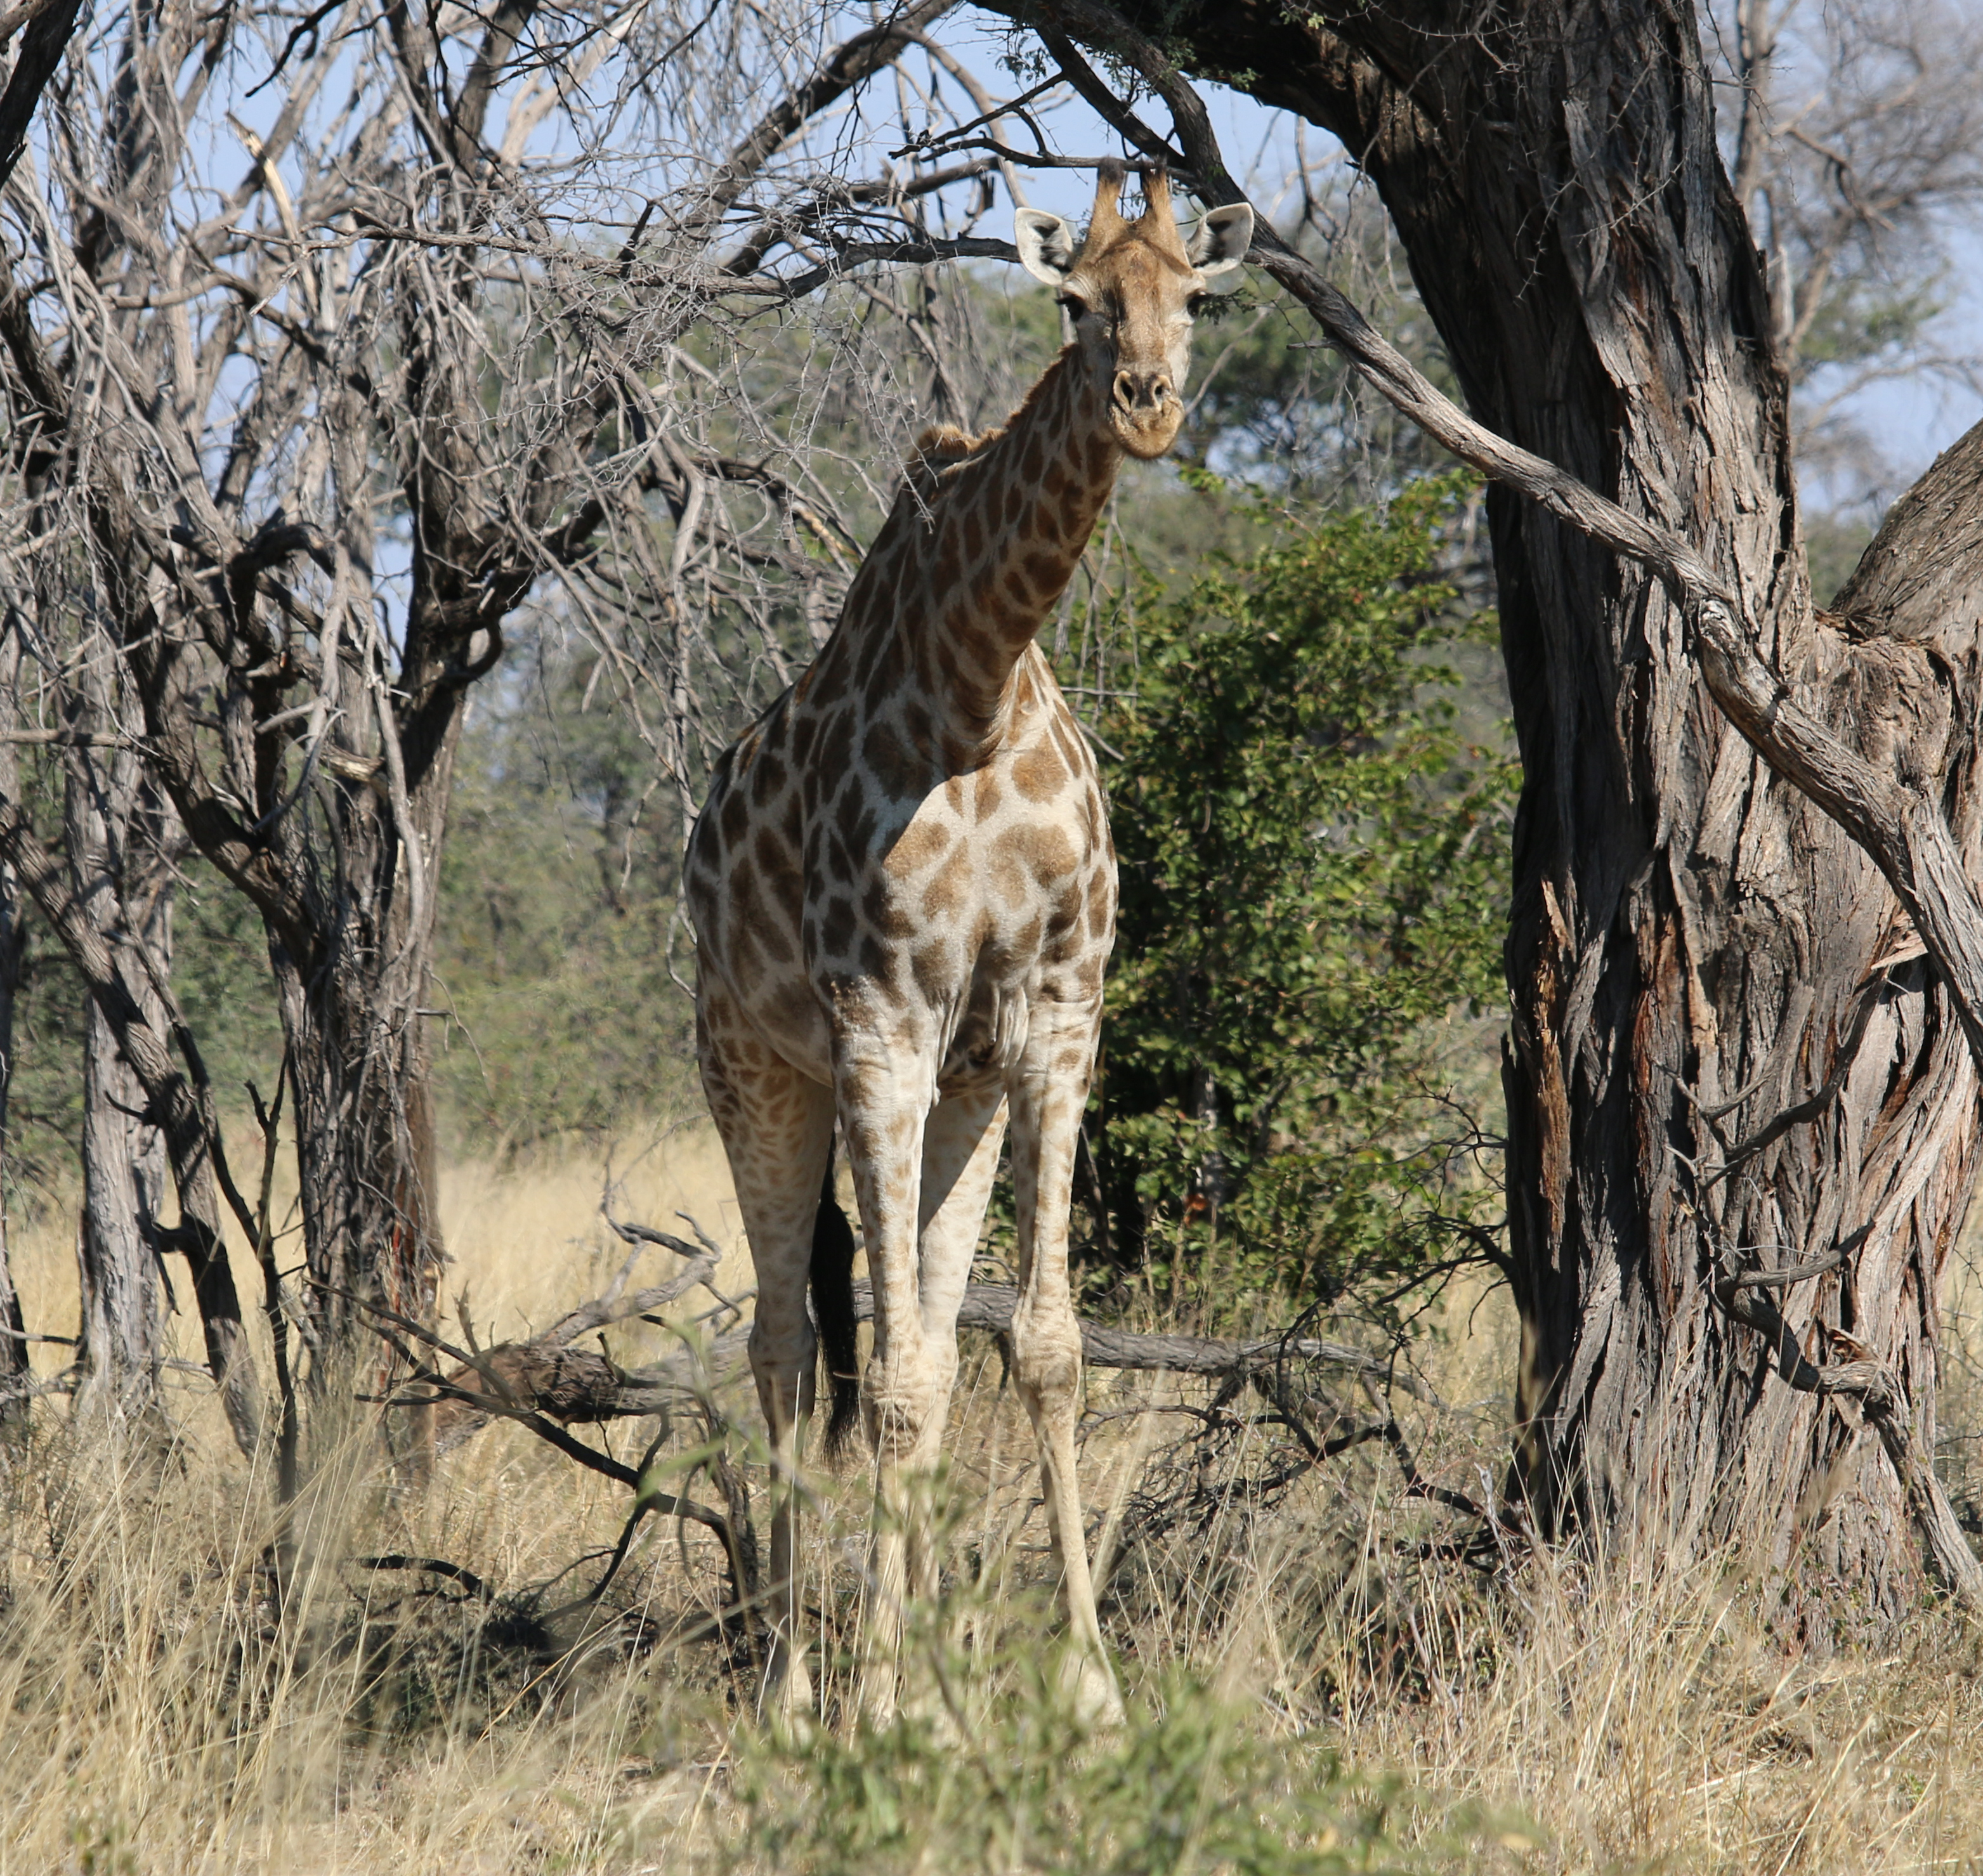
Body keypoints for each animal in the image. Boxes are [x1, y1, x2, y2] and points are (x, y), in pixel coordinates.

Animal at [690, 168, 1245, 1721]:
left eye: (1197, 296)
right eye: (1076, 301)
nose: (1147, 403)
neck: (979, 689)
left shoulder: (1055, 1016)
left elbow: (1033, 1349)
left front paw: (1083, 1692)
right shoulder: (876, 1019)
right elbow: (885, 1382)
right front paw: (876, 1703)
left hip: (966, 1092)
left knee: (922, 1332)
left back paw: (920, 1678)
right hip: (754, 1069)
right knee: (784, 1342)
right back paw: (795, 1684)